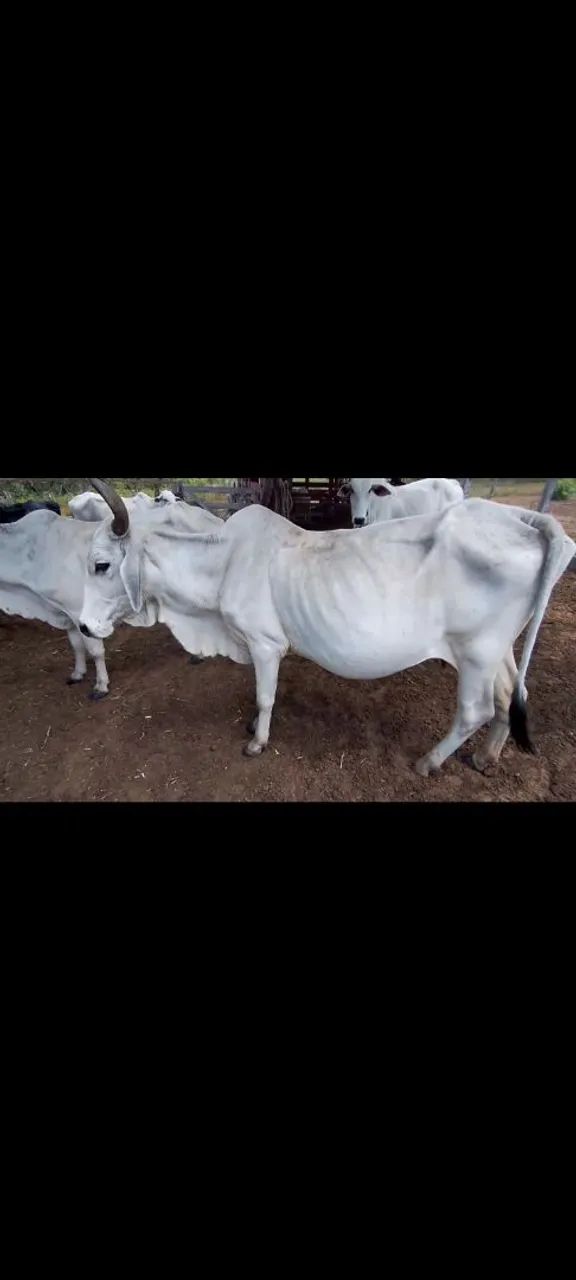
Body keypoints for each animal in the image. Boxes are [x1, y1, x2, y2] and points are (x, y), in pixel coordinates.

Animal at [1, 498, 223, 697]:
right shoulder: (65, 614)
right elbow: (76, 646)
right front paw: (77, 673)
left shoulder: (79, 611)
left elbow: (95, 651)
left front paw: (101, 685)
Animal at [79, 479, 575, 776]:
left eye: (101, 564)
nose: (83, 627)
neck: (222, 563)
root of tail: (521, 519)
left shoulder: (265, 644)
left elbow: (265, 695)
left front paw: (257, 741)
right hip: (498, 650)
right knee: (510, 694)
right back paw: (486, 757)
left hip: (475, 652)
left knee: (477, 710)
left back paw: (428, 762)